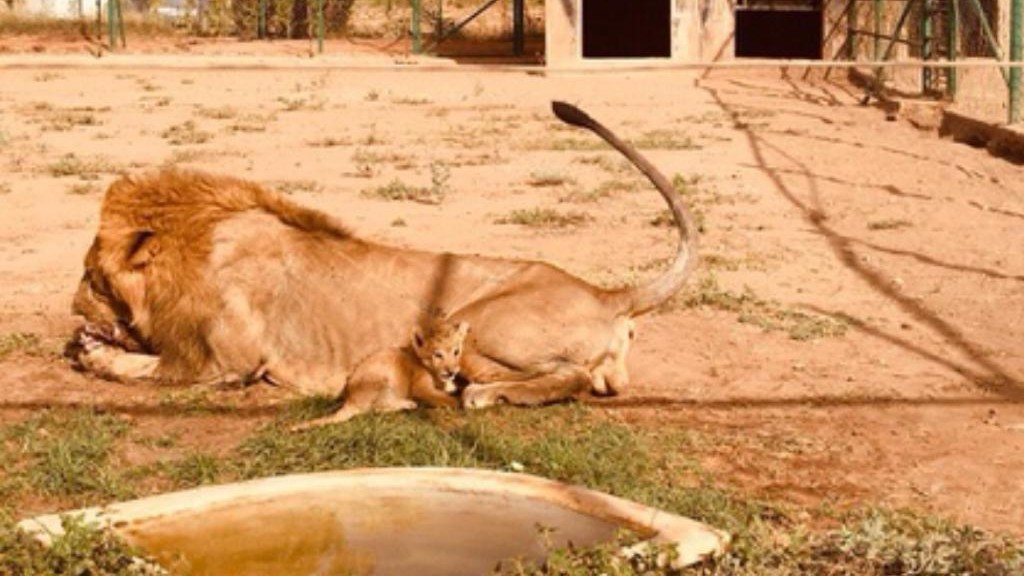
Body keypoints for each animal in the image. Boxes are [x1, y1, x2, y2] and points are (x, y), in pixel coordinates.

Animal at [70, 101, 698, 408]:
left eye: (90, 277)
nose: (75, 309)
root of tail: (607, 295)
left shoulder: (228, 365)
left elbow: (146, 370)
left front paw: (93, 354)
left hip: (478, 328)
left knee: (571, 378)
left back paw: (482, 395)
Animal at [292, 319, 469, 430]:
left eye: (456, 352)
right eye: (437, 355)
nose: (451, 371)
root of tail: (350, 400)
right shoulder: (420, 389)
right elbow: (445, 399)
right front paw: (461, 401)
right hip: (383, 378)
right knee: (376, 408)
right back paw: (408, 404)